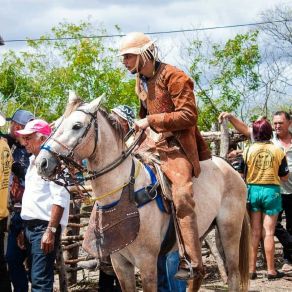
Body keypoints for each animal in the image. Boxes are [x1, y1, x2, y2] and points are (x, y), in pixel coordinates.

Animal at [35, 94, 250, 290]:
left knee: (233, 275)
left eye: (77, 126)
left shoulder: (147, 263)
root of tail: (229, 166)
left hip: (229, 231)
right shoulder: (120, 264)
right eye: (57, 124)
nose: (41, 163)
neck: (122, 192)